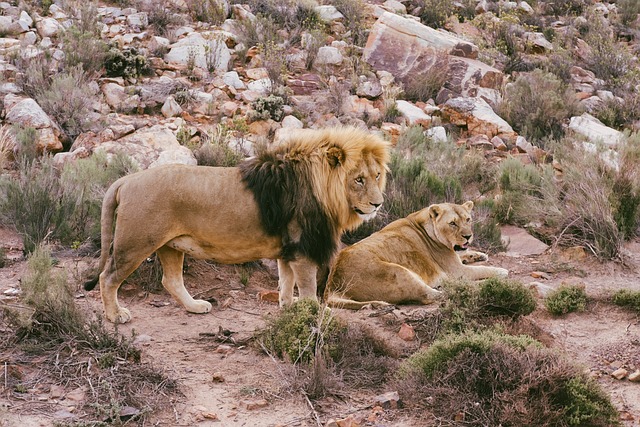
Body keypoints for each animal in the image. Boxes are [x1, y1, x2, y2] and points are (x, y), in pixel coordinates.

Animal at [82, 127, 388, 324]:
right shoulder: (302, 250)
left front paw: (289, 311)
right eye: (359, 179)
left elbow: (286, 284)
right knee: (107, 277)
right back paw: (115, 316)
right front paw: (312, 316)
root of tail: (127, 180)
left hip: (170, 245)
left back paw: (195, 307)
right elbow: (308, 289)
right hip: (135, 243)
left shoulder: (288, 250)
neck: (323, 189)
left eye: (377, 175)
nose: (378, 204)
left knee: (171, 280)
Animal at [324, 202, 510, 310]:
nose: (468, 236)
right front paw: (500, 271)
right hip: (398, 272)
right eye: (452, 223)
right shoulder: (456, 271)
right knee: (435, 294)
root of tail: (333, 282)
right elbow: (482, 270)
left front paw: (479, 255)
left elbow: (465, 254)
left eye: (468, 219)